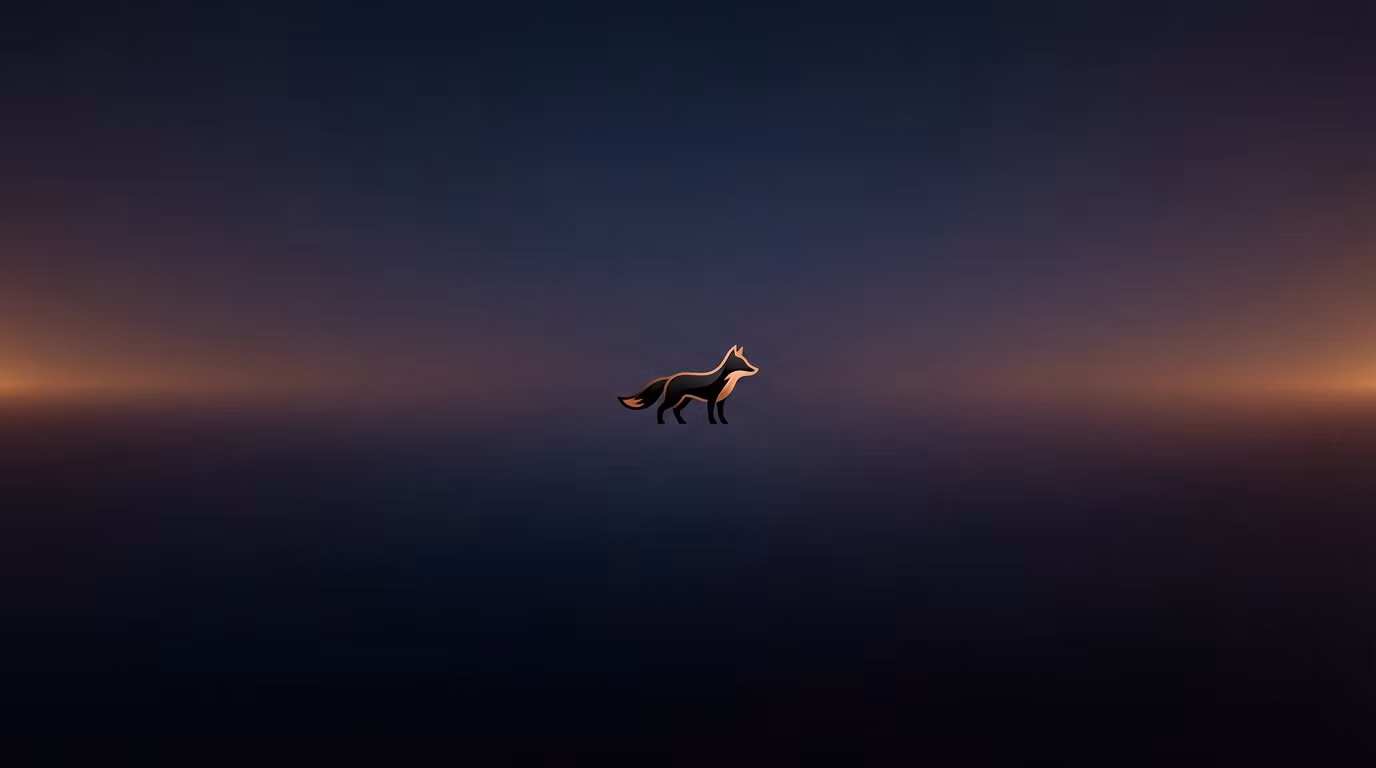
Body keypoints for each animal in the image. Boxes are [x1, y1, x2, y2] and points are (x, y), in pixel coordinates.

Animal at [617, 345, 760, 424]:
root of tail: (670, 378)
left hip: (685, 400)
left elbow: (721, 414)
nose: (755, 369)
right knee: (661, 408)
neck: (726, 381)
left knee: (675, 410)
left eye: (746, 361)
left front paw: (724, 423)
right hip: (674, 398)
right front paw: (713, 423)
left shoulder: (721, 401)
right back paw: (661, 422)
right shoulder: (711, 400)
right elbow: (711, 414)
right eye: (741, 362)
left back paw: (682, 422)